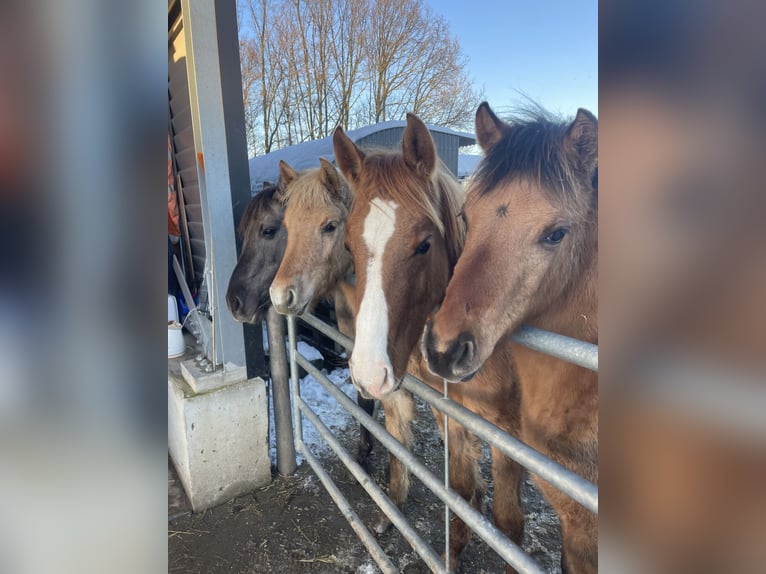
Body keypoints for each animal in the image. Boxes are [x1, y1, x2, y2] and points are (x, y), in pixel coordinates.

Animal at [268, 157, 416, 534]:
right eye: (286, 226)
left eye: (330, 225)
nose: (280, 296)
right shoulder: (361, 358)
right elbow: (367, 407)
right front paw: (364, 455)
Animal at [334, 113, 526, 573]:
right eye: (348, 244)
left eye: (424, 244)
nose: (369, 373)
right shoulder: (452, 413)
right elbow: (459, 490)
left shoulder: (509, 438)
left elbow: (509, 525)